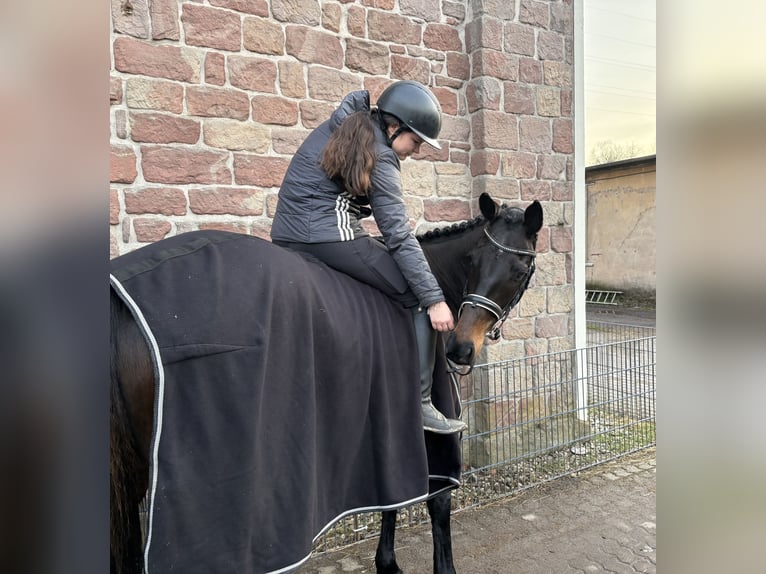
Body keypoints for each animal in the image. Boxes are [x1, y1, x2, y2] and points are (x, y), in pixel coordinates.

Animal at [110, 193, 543, 574]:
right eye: (472, 260)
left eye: (518, 271)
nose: (460, 349)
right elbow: (437, 505)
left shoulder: (388, 435)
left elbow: (393, 498)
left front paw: (386, 563)